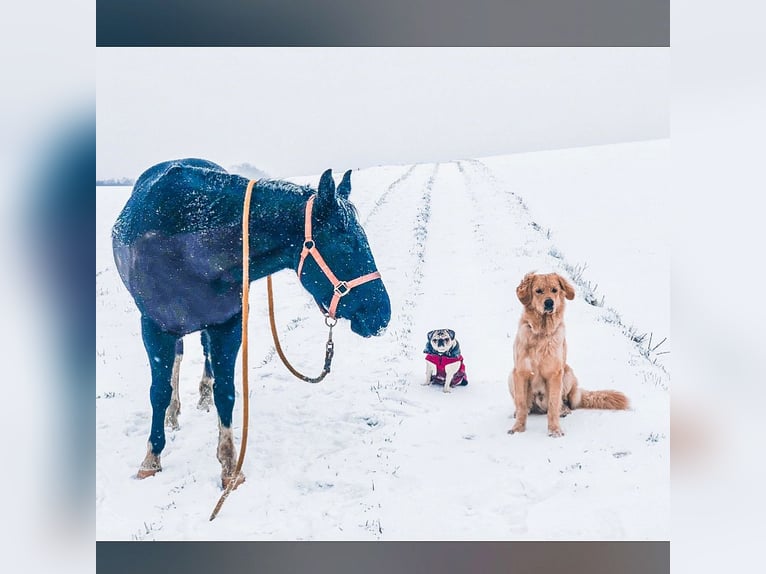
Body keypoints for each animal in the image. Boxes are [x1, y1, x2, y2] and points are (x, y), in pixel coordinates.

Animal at [112, 158, 391, 487]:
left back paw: (201, 397)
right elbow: (158, 391)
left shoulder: (228, 324)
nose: (382, 314)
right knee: (177, 360)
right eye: (348, 245)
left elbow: (226, 390)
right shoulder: (155, 327)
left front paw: (229, 466)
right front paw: (151, 459)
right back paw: (172, 414)